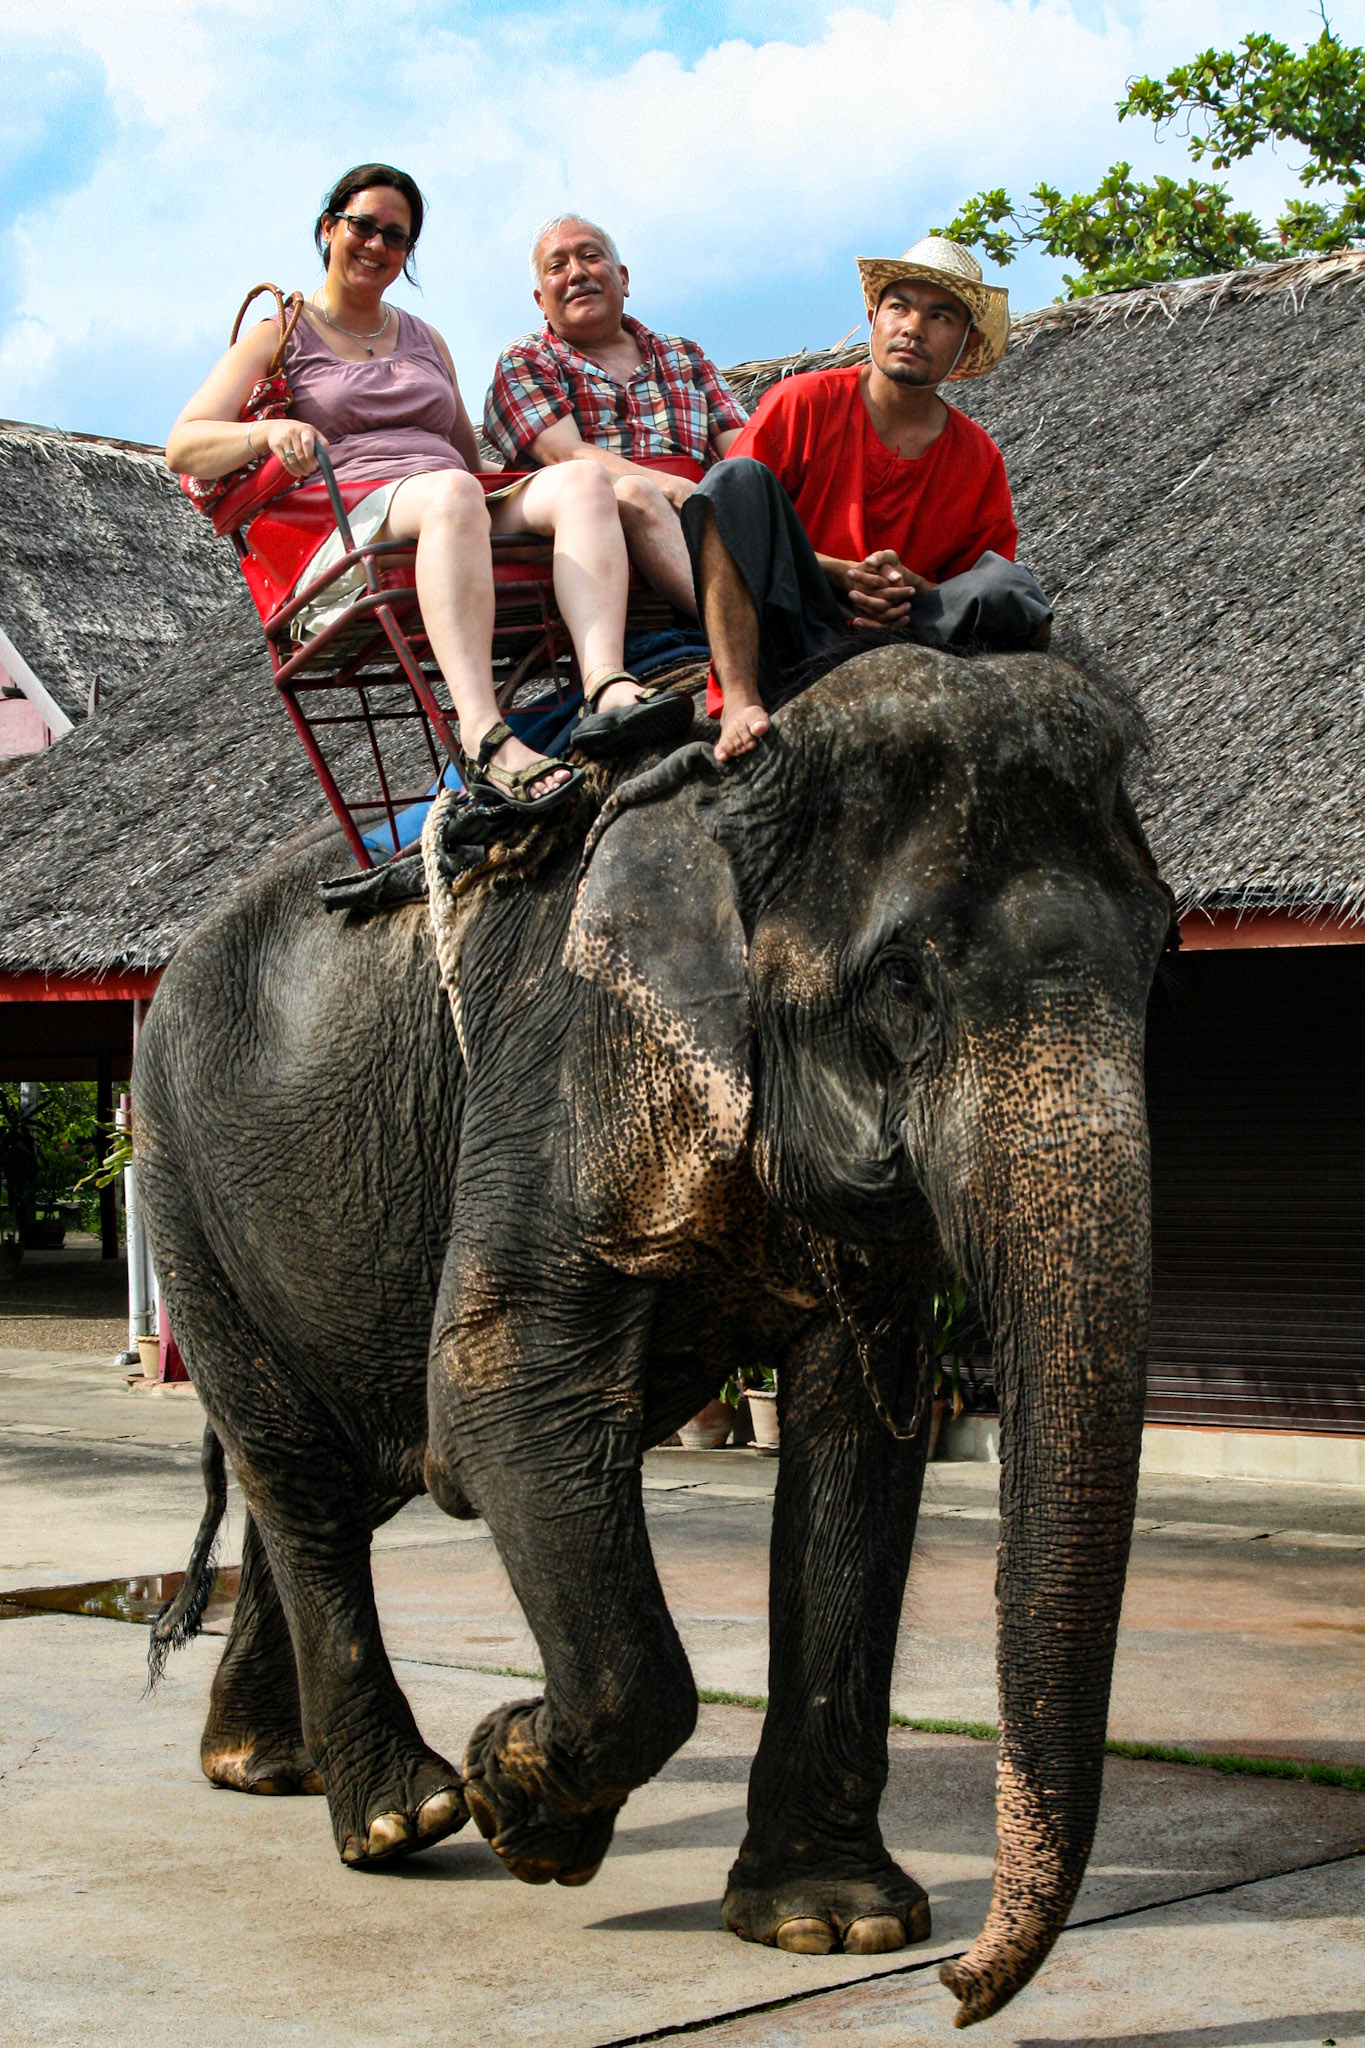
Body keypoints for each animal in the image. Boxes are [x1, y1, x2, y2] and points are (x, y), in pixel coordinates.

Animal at [135, 641, 1171, 2028]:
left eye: (1164, 950)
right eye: (903, 980)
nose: (957, 1986)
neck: (738, 770)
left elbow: (859, 1434)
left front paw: (833, 1925)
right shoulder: (554, 1053)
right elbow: (494, 1391)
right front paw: (520, 1804)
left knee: (323, 1477)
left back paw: (262, 1766)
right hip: (178, 1177)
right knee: (303, 1471)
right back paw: (407, 1816)